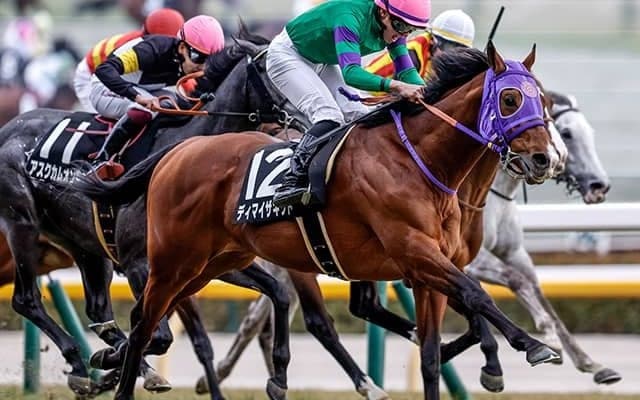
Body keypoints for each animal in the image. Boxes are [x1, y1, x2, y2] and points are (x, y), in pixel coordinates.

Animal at [0, 26, 303, 397]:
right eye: (268, 67)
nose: (303, 119)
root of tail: (9, 127)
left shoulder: (212, 262)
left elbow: (279, 293)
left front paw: (278, 378)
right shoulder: (139, 266)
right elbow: (156, 334)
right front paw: (114, 364)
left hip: (83, 245)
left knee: (98, 310)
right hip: (22, 223)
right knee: (26, 300)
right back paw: (79, 362)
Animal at [73, 43, 563, 400]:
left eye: (543, 99)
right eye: (510, 98)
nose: (544, 159)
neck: (420, 161)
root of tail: (176, 150)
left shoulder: (427, 271)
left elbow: (430, 353)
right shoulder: (414, 252)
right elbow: (477, 294)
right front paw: (536, 346)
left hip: (212, 263)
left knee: (147, 318)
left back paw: (108, 362)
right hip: (174, 260)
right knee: (143, 323)